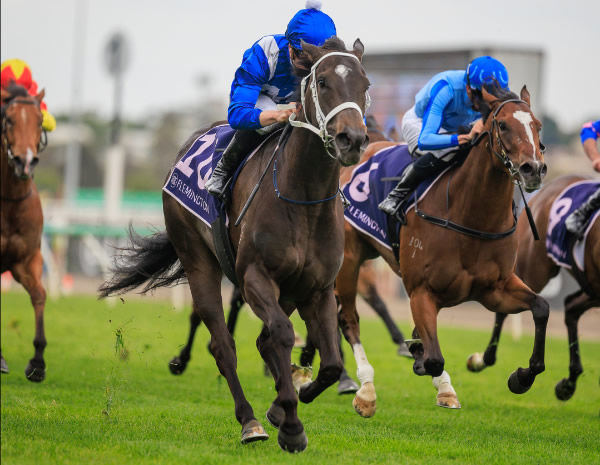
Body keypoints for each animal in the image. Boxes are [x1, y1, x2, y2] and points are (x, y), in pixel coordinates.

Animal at [99, 38, 370, 452]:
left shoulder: (318, 288)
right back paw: (250, 421)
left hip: (288, 291)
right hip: (198, 260)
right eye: (322, 81)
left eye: (366, 85)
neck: (304, 199)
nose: (352, 139)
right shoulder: (255, 275)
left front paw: (292, 402)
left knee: (263, 340)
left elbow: (330, 363)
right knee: (223, 346)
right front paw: (290, 424)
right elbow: (281, 336)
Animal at [336, 85, 552, 416]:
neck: (472, 216)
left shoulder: (495, 289)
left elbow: (541, 307)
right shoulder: (421, 291)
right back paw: (364, 390)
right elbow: (435, 358)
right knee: (348, 318)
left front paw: (521, 377)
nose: (534, 169)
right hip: (349, 258)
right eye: (503, 125)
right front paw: (425, 364)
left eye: (537, 125)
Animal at [468, 174, 600, 398]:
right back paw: (484, 361)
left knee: (571, 307)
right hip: (533, 266)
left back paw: (568, 382)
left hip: (591, 288)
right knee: (507, 310)